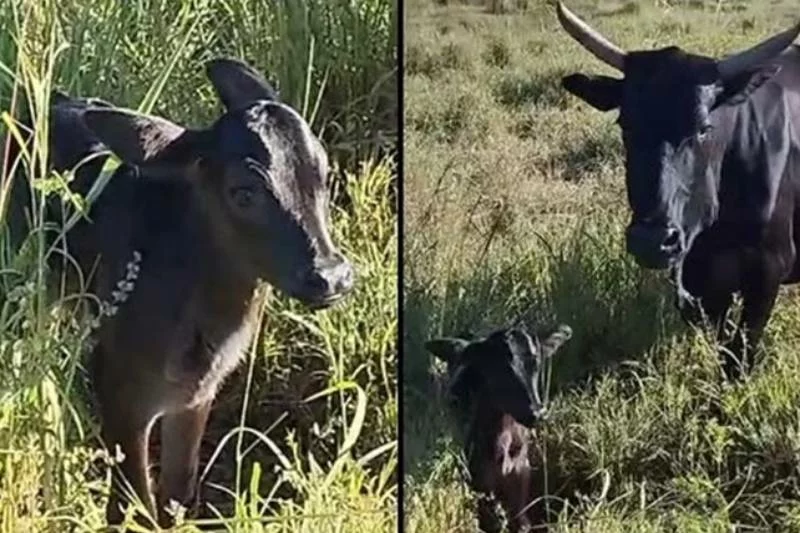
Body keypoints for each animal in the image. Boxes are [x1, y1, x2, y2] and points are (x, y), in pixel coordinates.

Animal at [4, 58, 355, 528]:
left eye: (324, 174)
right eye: (242, 192)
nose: (331, 276)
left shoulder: (197, 396)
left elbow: (177, 495)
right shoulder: (119, 390)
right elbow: (132, 505)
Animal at [425, 324, 572, 532]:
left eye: (536, 364)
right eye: (499, 370)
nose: (537, 413)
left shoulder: (521, 472)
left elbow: (521, 522)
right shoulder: (478, 477)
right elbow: (489, 521)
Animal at [556, 1, 800, 378]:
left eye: (703, 127)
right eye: (625, 123)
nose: (652, 240)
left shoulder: (768, 269)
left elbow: (738, 357)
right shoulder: (700, 280)